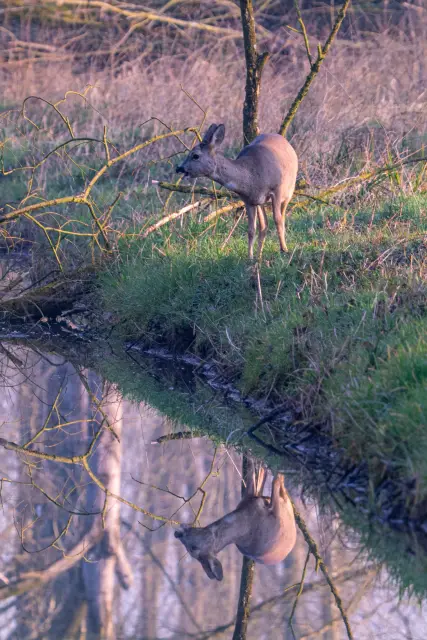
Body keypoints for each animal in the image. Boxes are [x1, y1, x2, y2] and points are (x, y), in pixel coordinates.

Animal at [176, 124, 298, 260]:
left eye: (195, 155)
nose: (179, 168)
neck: (251, 176)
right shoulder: (248, 200)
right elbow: (251, 230)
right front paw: (250, 257)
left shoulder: (276, 190)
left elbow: (277, 220)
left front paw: (284, 250)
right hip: (260, 201)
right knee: (264, 225)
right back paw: (259, 255)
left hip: (289, 190)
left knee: (281, 216)